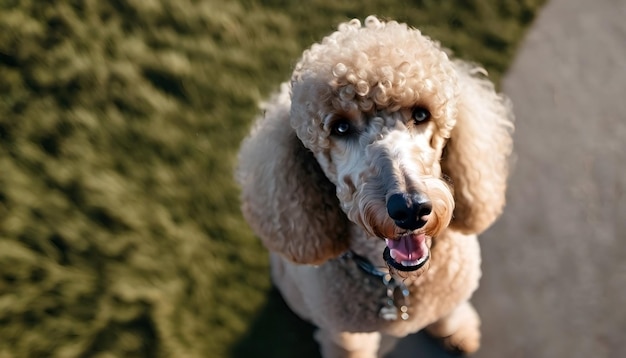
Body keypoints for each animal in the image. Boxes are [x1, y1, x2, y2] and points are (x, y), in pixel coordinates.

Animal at [234, 15, 512, 356]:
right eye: (340, 127)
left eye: (422, 114)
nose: (410, 209)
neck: (396, 283)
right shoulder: (344, 334)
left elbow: (449, 311)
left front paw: (456, 331)